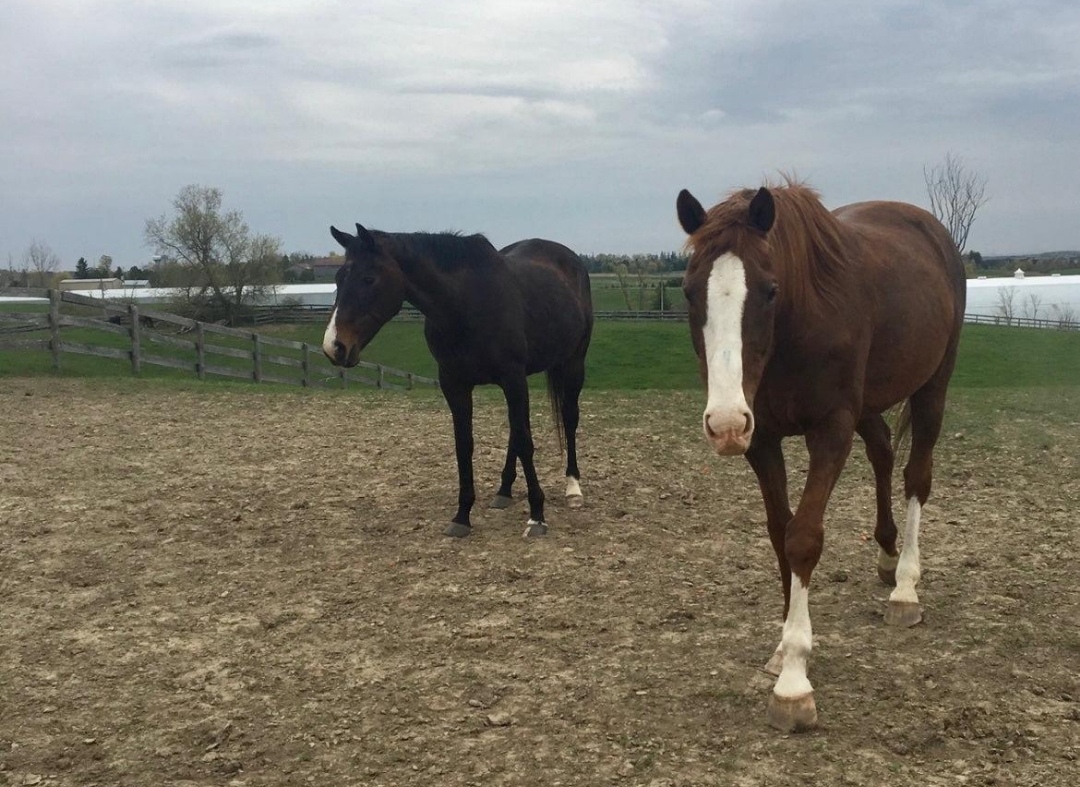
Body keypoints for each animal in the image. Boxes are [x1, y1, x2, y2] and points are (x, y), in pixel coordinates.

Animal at [322, 224, 593, 539]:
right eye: (338, 278)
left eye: (369, 278)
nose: (334, 347)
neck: (466, 303)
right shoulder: (455, 384)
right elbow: (464, 445)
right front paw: (462, 516)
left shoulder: (512, 378)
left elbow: (526, 441)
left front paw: (537, 516)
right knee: (515, 430)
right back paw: (504, 490)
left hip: (573, 363)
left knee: (568, 419)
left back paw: (573, 488)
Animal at [676, 180, 965, 732]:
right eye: (688, 291)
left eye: (769, 290)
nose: (725, 424)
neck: (798, 326)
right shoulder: (763, 439)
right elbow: (778, 533)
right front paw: (781, 648)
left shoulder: (830, 430)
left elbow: (803, 537)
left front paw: (793, 681)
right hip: (869, 403)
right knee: (882, 451)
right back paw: (885, 555)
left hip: (933, 387)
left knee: (917, 475)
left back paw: (904, 588)